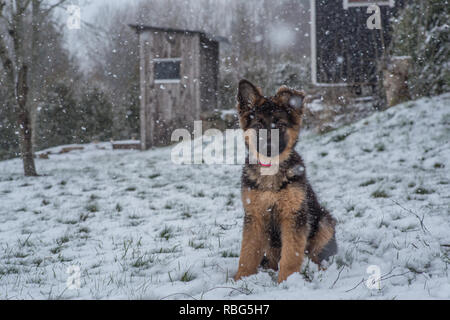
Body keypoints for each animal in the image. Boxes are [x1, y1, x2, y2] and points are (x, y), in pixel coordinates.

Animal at [234, 79, 336, 282]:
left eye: (279, 126)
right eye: (258, 126)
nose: (268, 148)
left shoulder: (294, 216)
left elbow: (291, 254)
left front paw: (288, 280)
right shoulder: (254, 216)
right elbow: (248, 252)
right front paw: (241, 278)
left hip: (325, 222)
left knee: (314, 254)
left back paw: (318, 269)